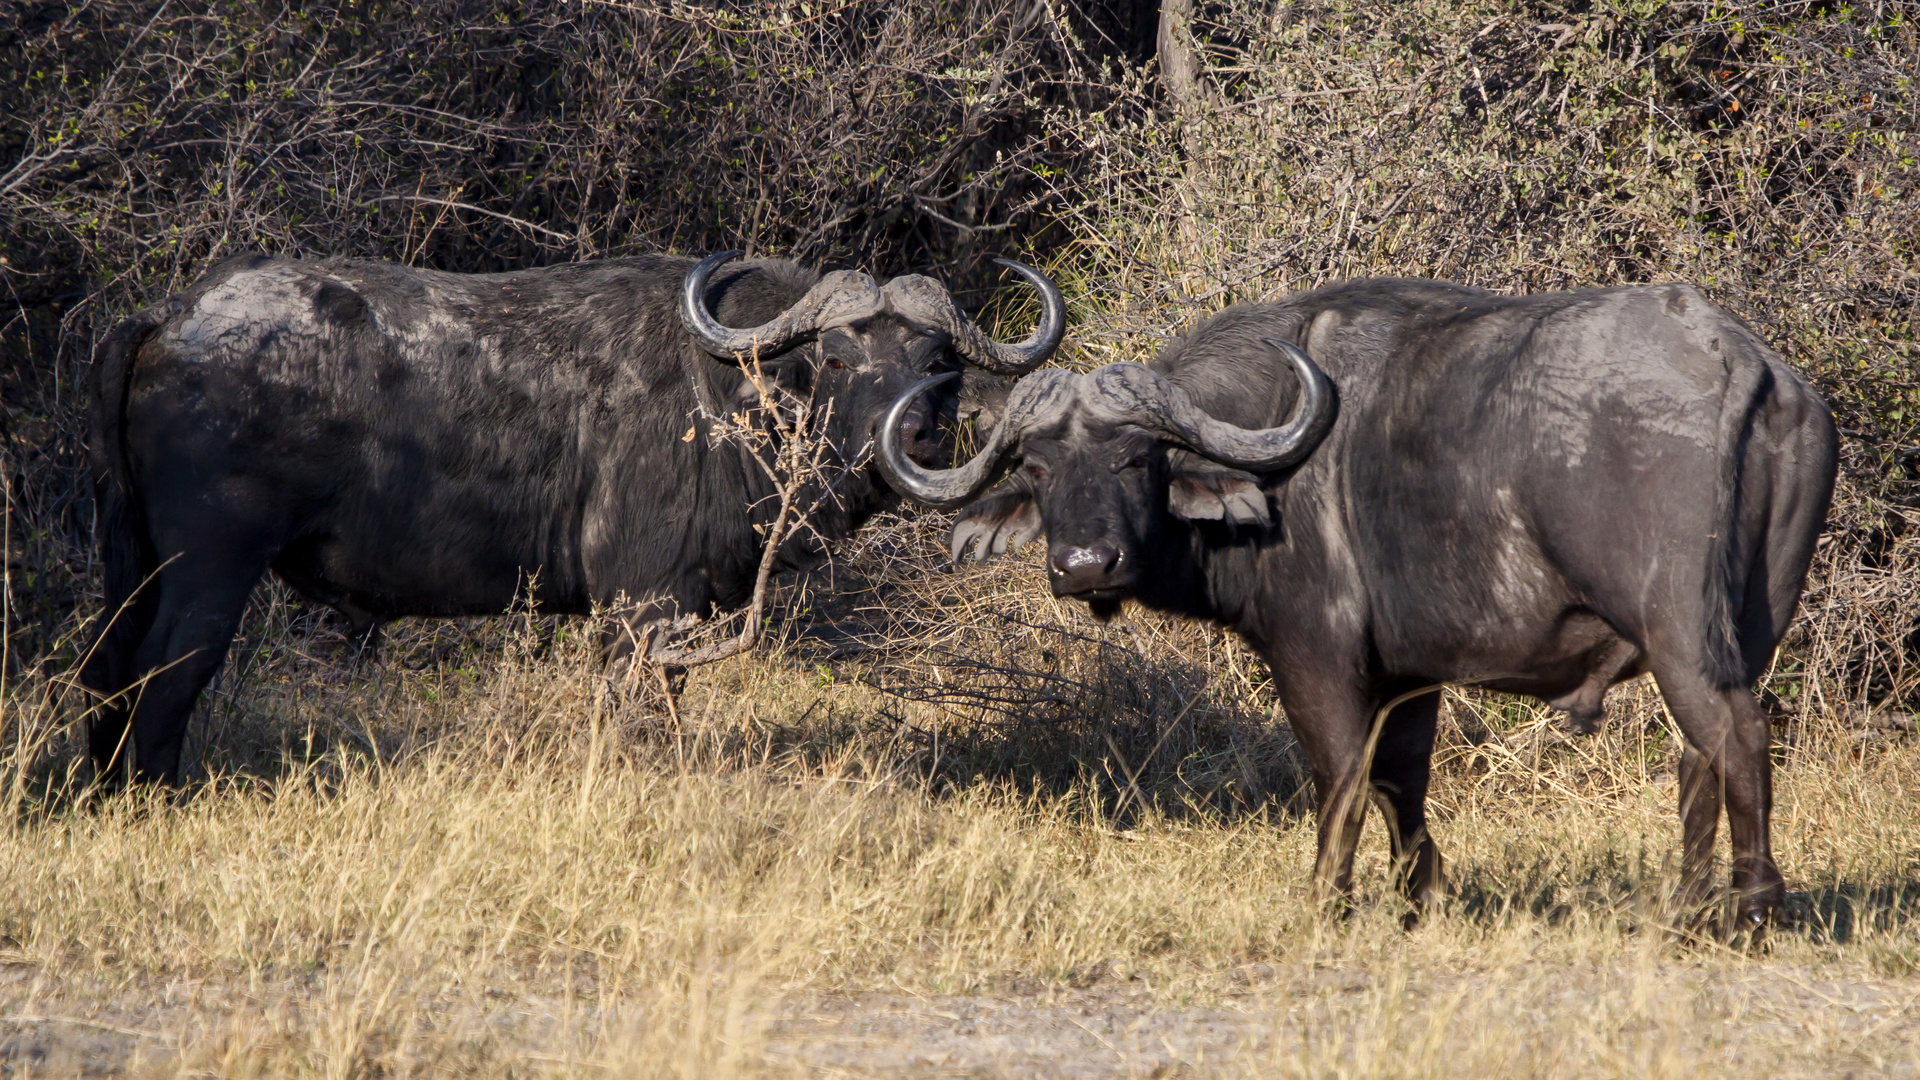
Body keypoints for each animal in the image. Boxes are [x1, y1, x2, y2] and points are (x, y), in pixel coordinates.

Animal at [86, 247, 1067, 776]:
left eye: (938, 361)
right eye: (834, 358)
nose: (917, 430)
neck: (730, 393)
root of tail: (174, 313)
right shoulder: (641, 604)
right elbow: (639, 716)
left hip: (134, 568)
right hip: (209, 572)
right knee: (162, 675)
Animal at [883, 276, 1843, 933]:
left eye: (1134, 458)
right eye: (1040, 470)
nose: (1085, 566)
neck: (1274, 447)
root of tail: (1734, 355)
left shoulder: (1316, 658)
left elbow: (1339, 776)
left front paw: (1326, 901)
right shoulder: (1411, 677)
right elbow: (1400, 783)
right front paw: (1421, 897)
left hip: (1679, 634)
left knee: (1733, 735)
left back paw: (1751, 908)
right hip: (1749, 629)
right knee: (1702, 755)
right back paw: (1686, 906)